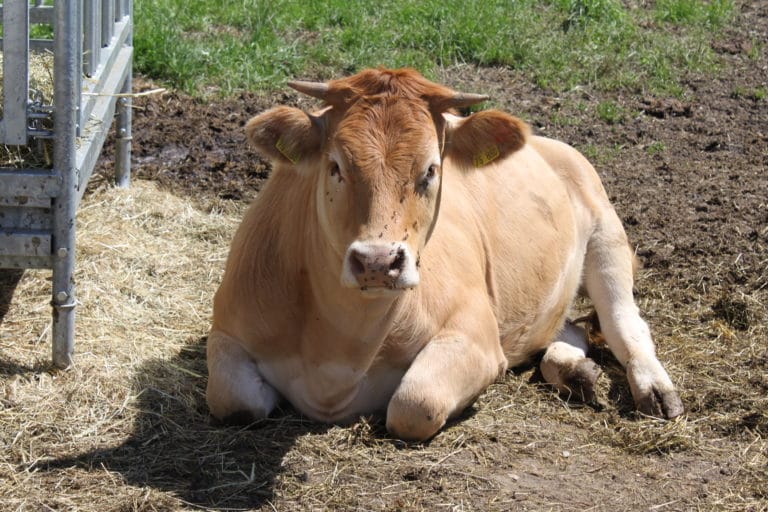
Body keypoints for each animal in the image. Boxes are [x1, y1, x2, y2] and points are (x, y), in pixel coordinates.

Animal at [206, 68, 684, 442]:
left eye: (431, 169)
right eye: (335, 166)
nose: (378, 262)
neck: (340, 349)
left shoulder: (475, 332)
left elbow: (415, 403)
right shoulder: (226, 328)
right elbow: (234, 400)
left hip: (607, 236)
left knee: (626, 324)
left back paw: (656, 391)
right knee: (569, 328)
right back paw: (574, 371)